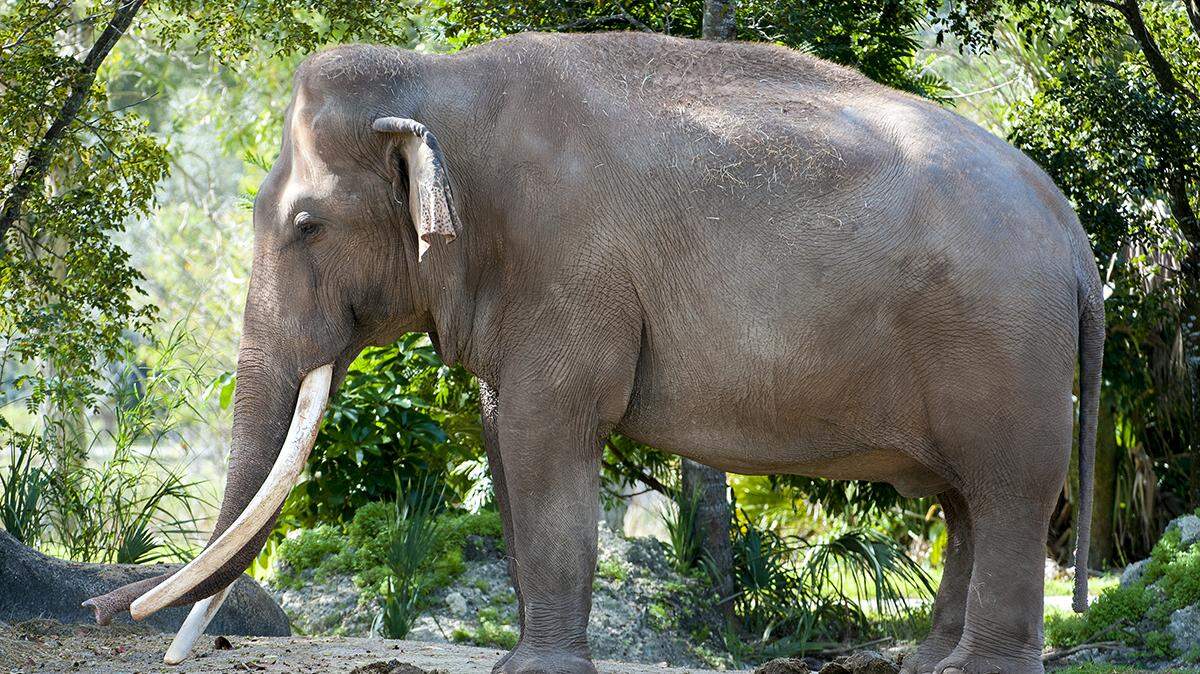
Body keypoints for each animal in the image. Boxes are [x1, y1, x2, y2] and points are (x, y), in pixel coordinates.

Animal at [85, 31, 1103, 674]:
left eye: (305, 225)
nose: (103, 612)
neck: (438, 83)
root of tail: (1076, 239)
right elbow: (505, 435)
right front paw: (515, 662)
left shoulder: (566, 262)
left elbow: (548, 431)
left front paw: (537, 669)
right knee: (964, 500)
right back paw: (929, 661)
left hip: (1004, 345)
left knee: (1009, 489)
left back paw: (978, 669)